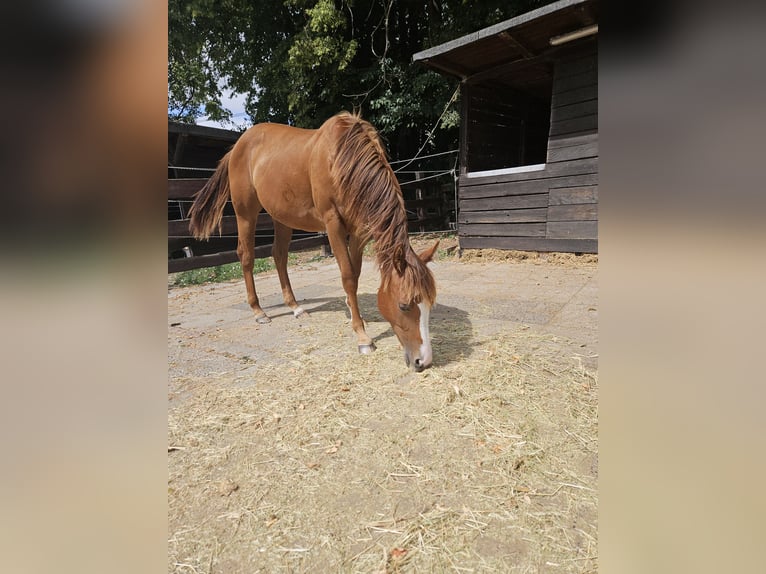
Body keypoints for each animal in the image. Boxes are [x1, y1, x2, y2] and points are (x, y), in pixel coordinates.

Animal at [188, 111, 439, 371]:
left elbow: (355, 273)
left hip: (281, 216)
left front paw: (352, 311)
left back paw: (295, 307)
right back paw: (259, 311)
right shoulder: (333, 224)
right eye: (404, 305)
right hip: (245, 213)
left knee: (279, 255)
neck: (342, 159)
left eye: (430, 303)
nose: (423, 360)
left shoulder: (358, 229)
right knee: (246, 256)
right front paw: (362, 337)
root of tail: (238, 146)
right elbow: (348, 276)